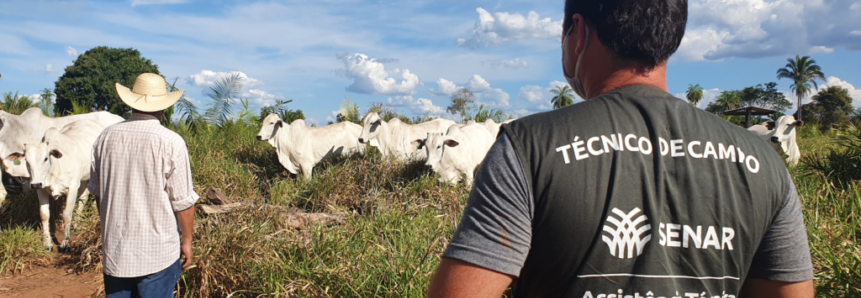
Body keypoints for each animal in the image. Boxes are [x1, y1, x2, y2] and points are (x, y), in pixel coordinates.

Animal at [25, 118, 107, 251]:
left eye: (45, 158)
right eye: (26, 161)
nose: (35, 184)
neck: (55, 168)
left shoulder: (72, 187)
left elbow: (67, 215)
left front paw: (65, 243)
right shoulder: (41, 190)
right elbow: (44, 215)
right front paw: (47, 243)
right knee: (84, 197)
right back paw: (76, 224)